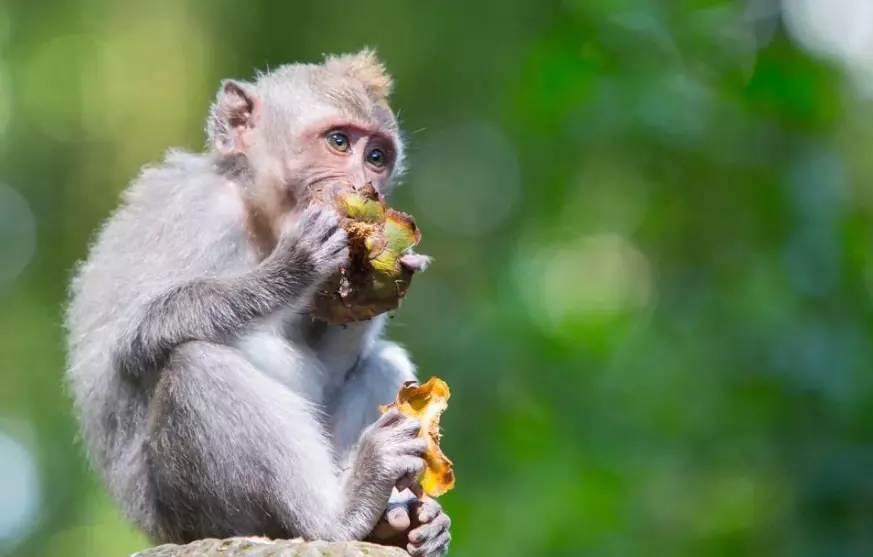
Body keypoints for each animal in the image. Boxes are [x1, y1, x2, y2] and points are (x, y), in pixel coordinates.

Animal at [62, 48, 454, 556]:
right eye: (339, 141)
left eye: (376, 156)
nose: (366, 184)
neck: (257, 216)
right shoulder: (199, 209)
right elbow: (135, 336)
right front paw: (293, 269)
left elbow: (330, 370)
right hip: (191, 514)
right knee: (198, 365)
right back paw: (342, 516)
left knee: (383, 362)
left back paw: (390, 523)